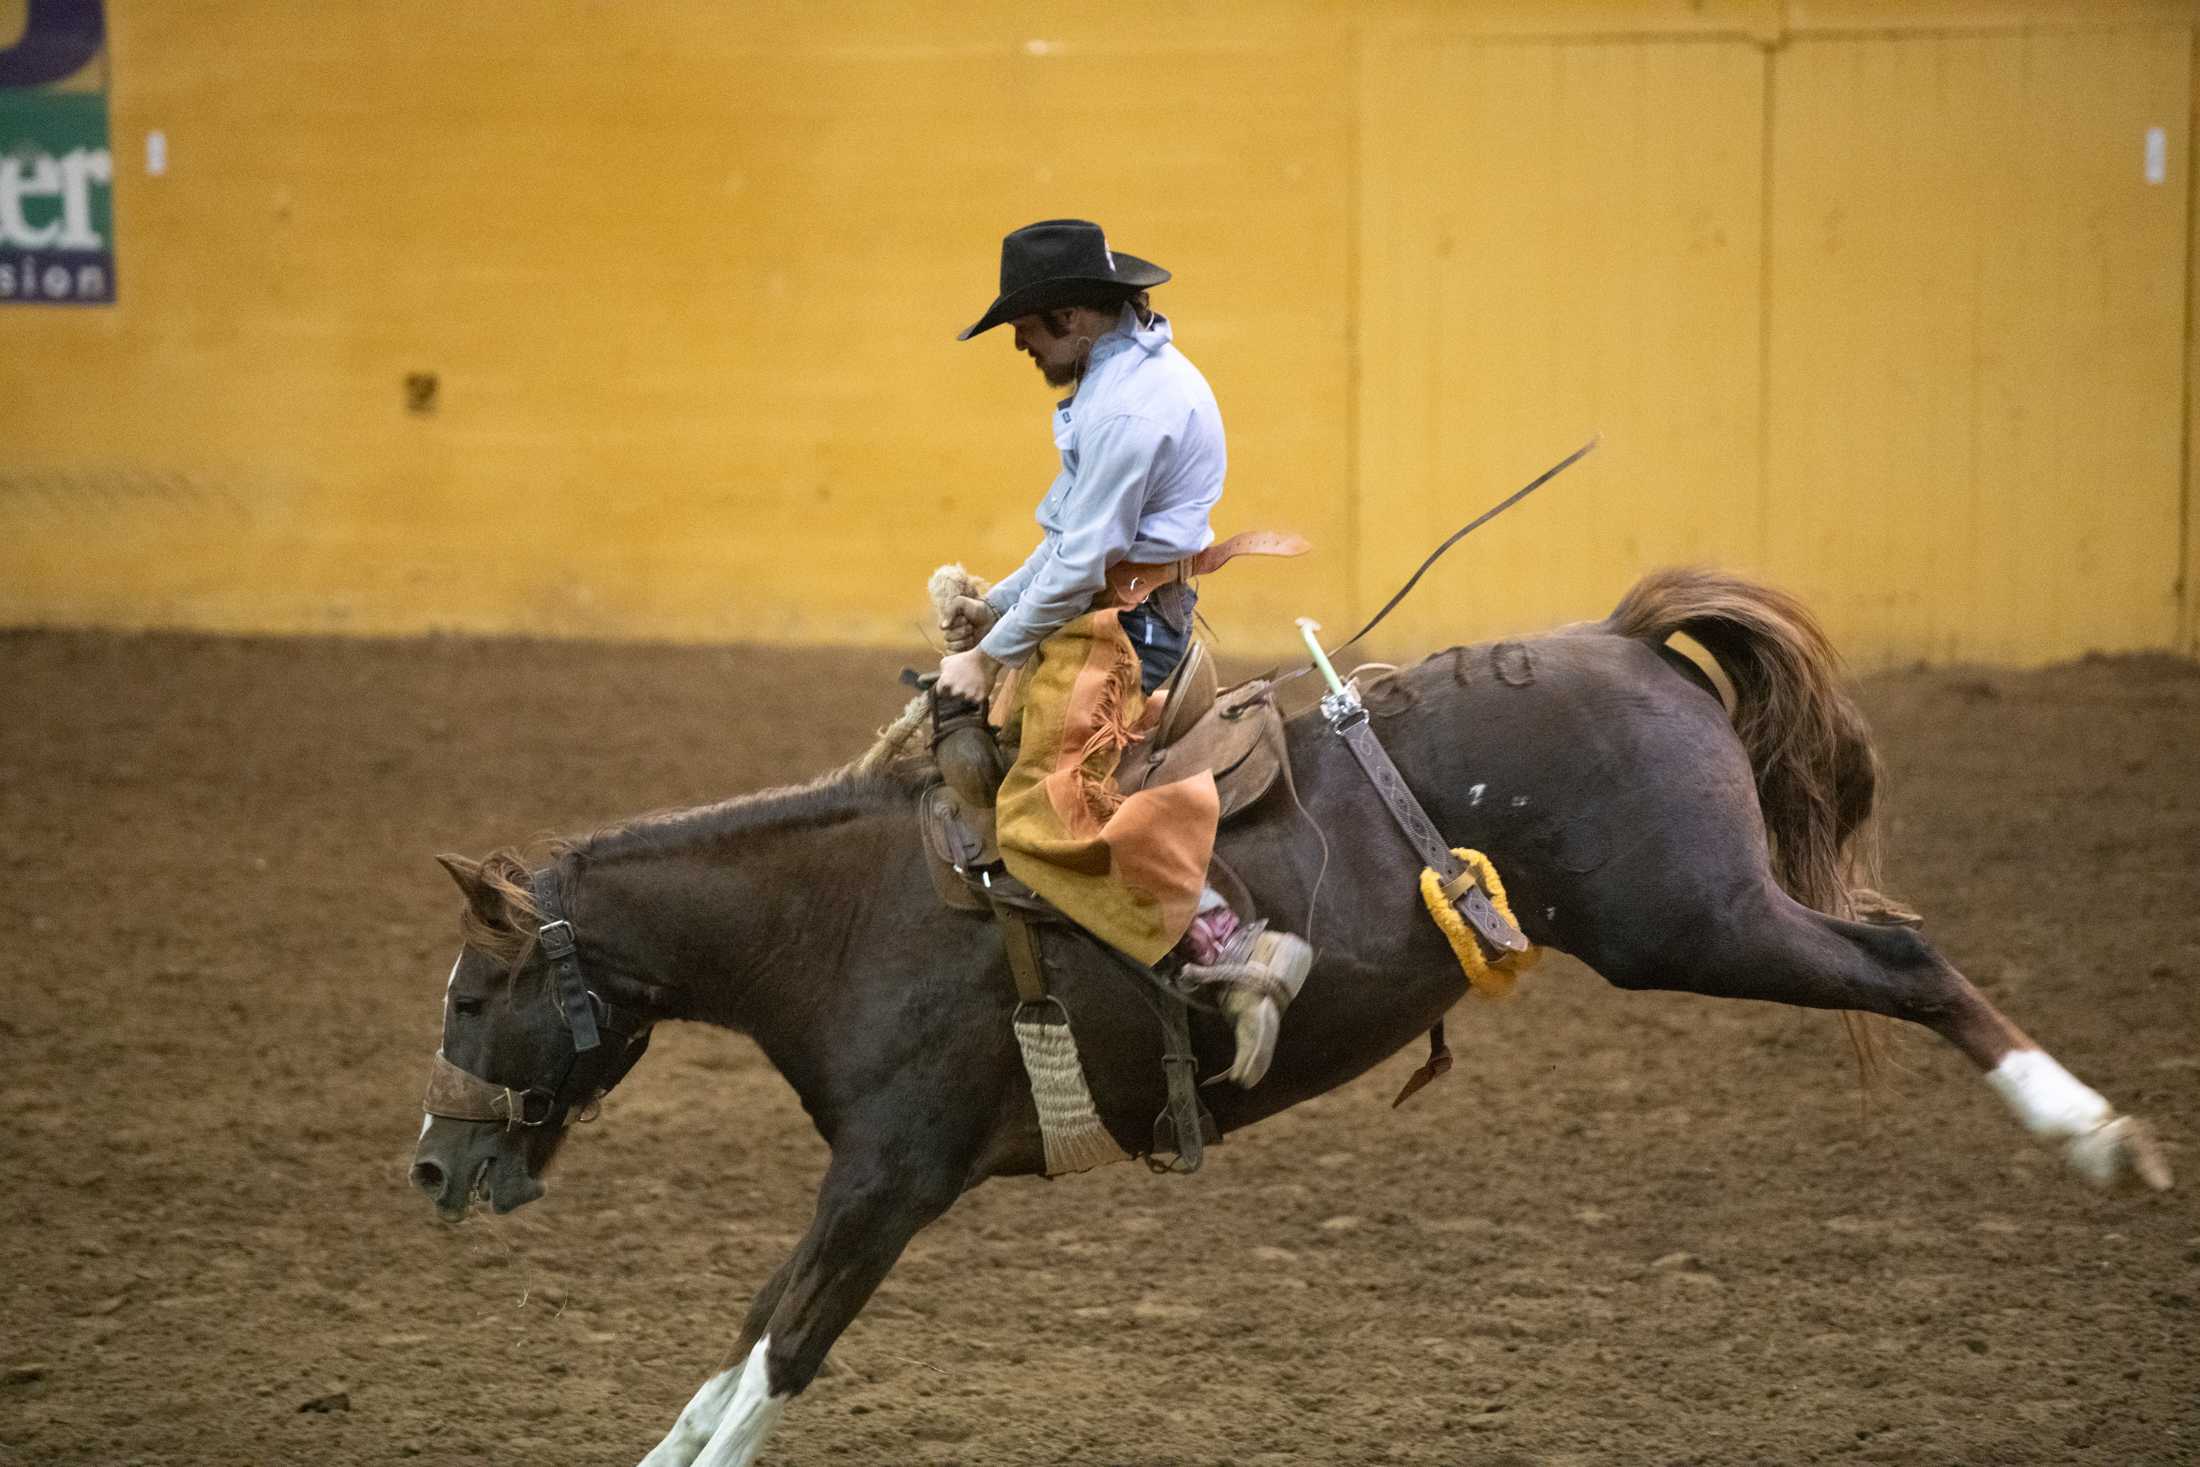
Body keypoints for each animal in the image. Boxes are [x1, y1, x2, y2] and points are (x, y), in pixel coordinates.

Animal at [409, 571, 2164, 1467]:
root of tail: (1617, 642)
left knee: (1911, 960)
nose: (431, 1165)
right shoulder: (869, 1183)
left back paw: (2101, 1138)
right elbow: (744, 1342)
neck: (849, 909)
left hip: (1699, 920)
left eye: (480, 990)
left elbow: (779, 1350)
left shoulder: (893, 1176)